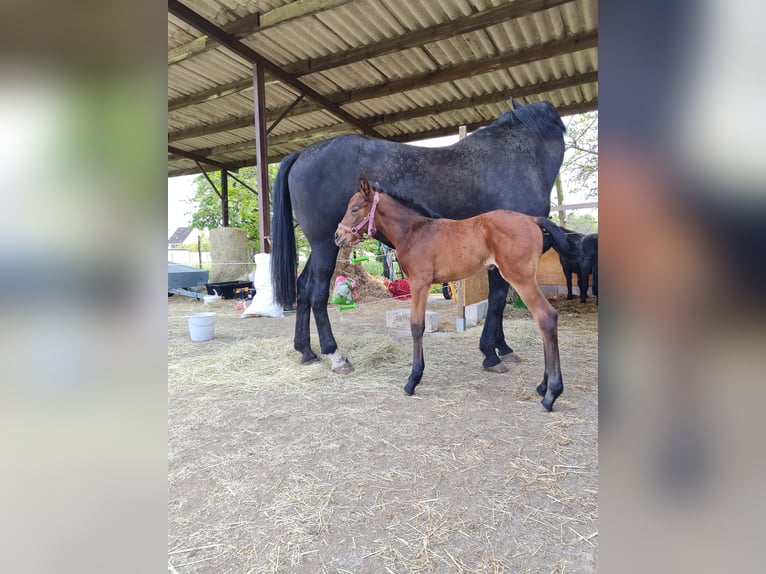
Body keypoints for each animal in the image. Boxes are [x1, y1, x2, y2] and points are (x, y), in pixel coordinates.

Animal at [272, 101, 568, 376]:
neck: (518, 156)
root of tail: (302, 153)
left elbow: (498, 297)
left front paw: (501, 348)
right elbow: (497, 298)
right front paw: (492, 353)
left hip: (325, 244)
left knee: (304, 288)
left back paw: (306, 351)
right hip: (325, 244)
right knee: (318, 293)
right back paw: (335, 356)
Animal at [336, 178, 576, 412]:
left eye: (355, 209)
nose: (338, 236)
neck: (414, 232)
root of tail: (532, 220)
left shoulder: (420, 283)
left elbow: (416, 326)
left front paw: (413, 380)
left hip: (521, 279)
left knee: (546, 317)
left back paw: (551, 394)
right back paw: (543, 386)